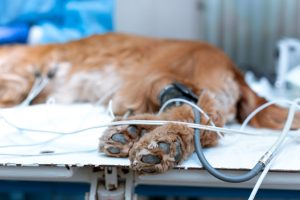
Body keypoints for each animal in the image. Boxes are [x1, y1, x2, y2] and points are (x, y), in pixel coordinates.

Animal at [0, 33, 300, 173]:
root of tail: (234, 69)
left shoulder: (18, 77)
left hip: (153, 81)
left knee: (202, 116)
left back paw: (158, 140)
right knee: (206, 122)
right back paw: (140, 136)